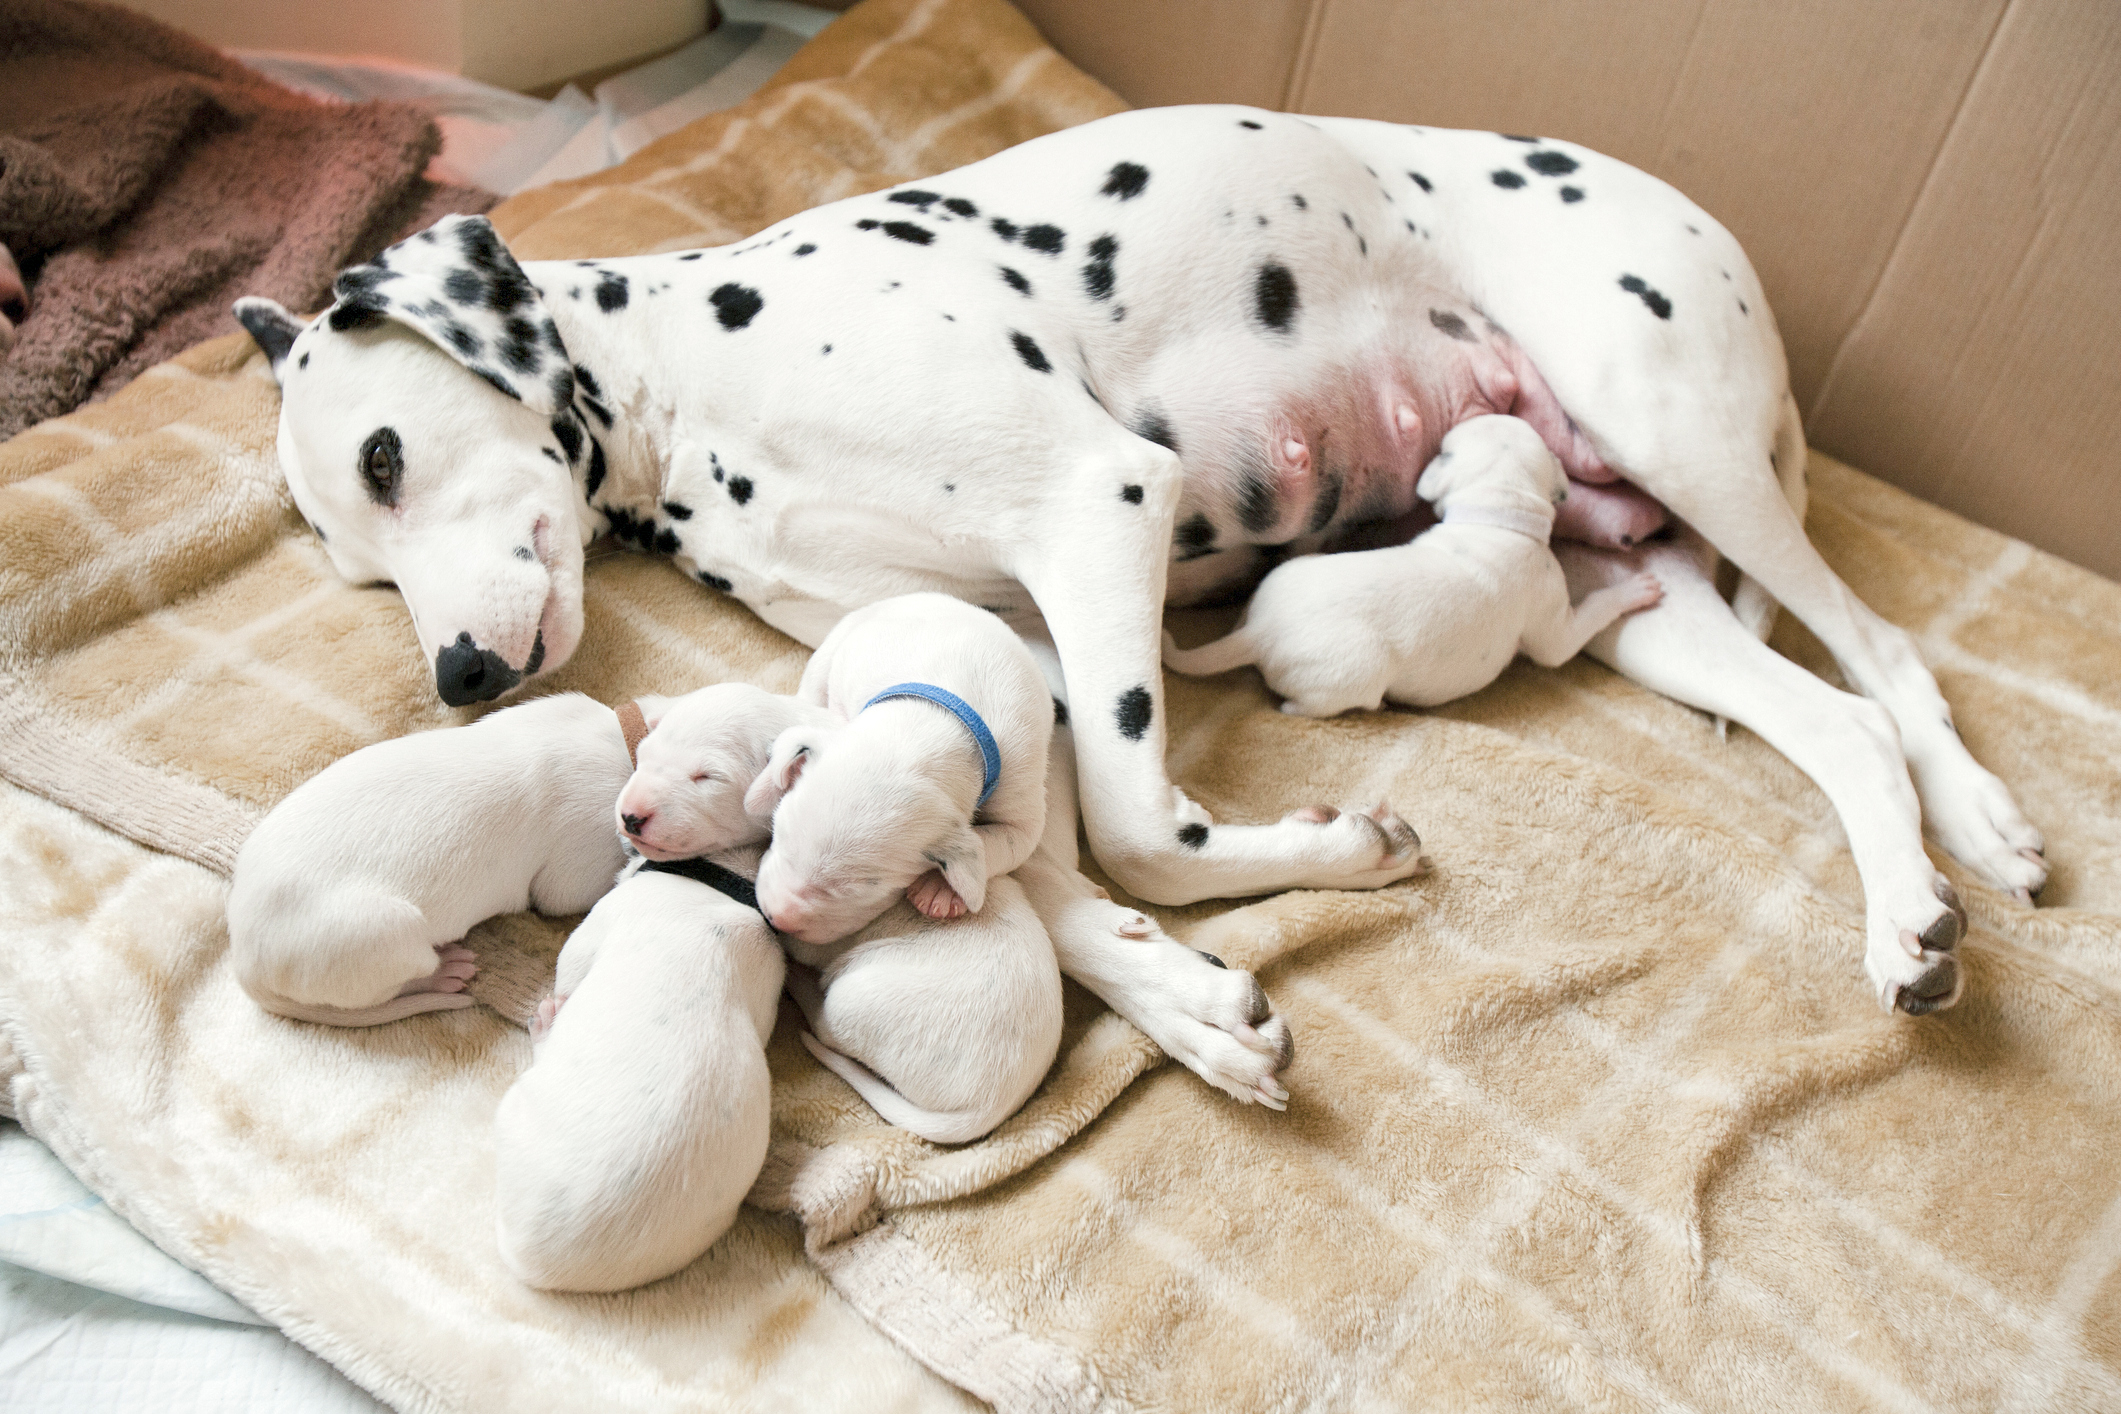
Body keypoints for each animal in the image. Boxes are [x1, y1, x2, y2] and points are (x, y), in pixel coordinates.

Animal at [226, 695, 636, 1030]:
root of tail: (244, 963)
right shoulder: (576, 862)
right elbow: (568, 894)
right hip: (389, 936)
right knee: (394, 986)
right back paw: (443, 973)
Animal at [487, 852, 780, 1297]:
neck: (724, 884)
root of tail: (532, 1264)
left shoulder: (595, 928)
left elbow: (569, 963)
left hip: (514, 1108)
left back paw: (546, 1023)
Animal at [742, 593, 1056, 945]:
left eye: (862, 890)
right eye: (779, 833)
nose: (776, 917)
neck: (931, 724)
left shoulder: (1021, 802)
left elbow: (995, 844)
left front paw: (940, 889)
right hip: (831, 651)